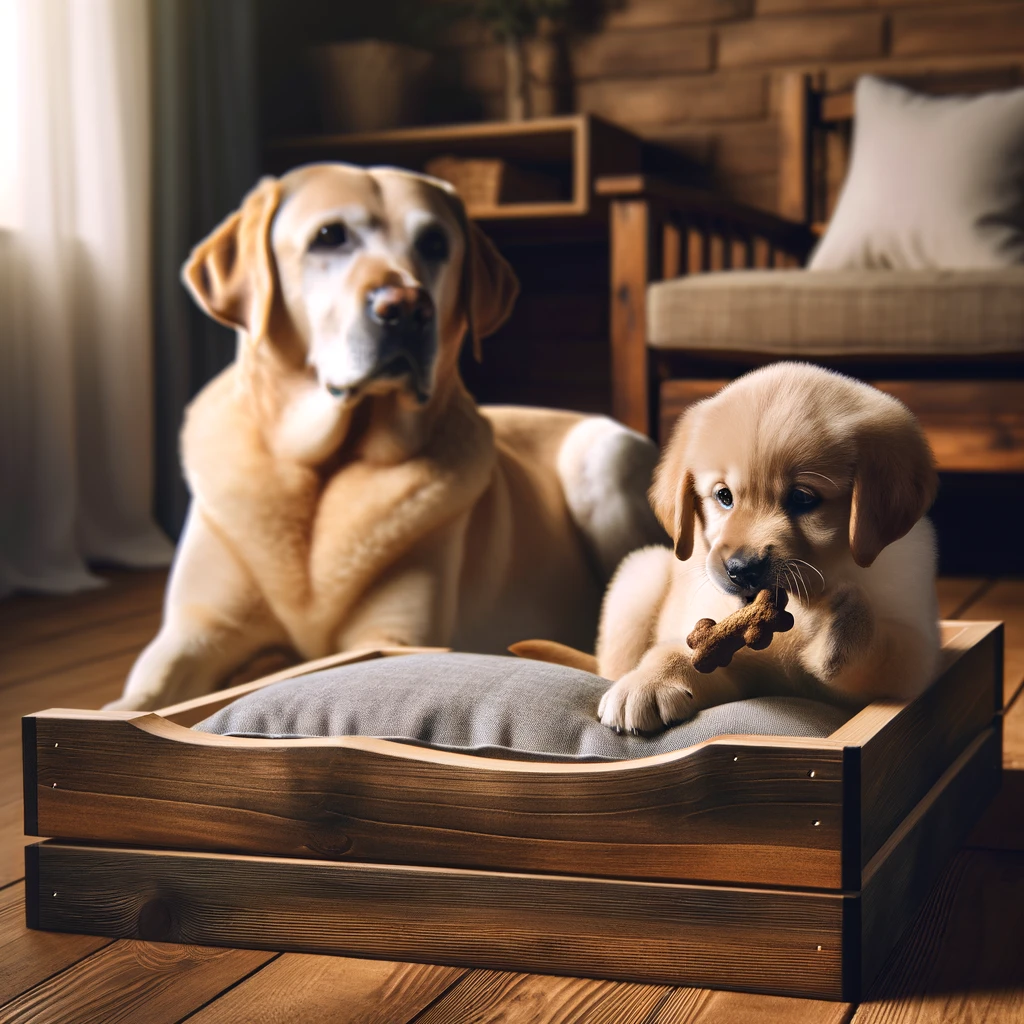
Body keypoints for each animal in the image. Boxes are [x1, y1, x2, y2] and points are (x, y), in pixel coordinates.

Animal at [108, 167, 659, 712]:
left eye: (435, 243)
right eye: (329, 236)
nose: (409, 308)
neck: (328, 464)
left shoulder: (392, 637)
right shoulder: (196, 630)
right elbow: (137, 699)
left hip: (605, 459)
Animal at [598, 364, 937, 733]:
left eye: (803, 498)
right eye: (724, 496)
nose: (741, 569)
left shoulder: (912, 658)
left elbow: (881, 649)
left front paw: (842, 622)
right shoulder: (731, 656)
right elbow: (680, 653)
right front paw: (646, 682)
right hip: (640, 575)